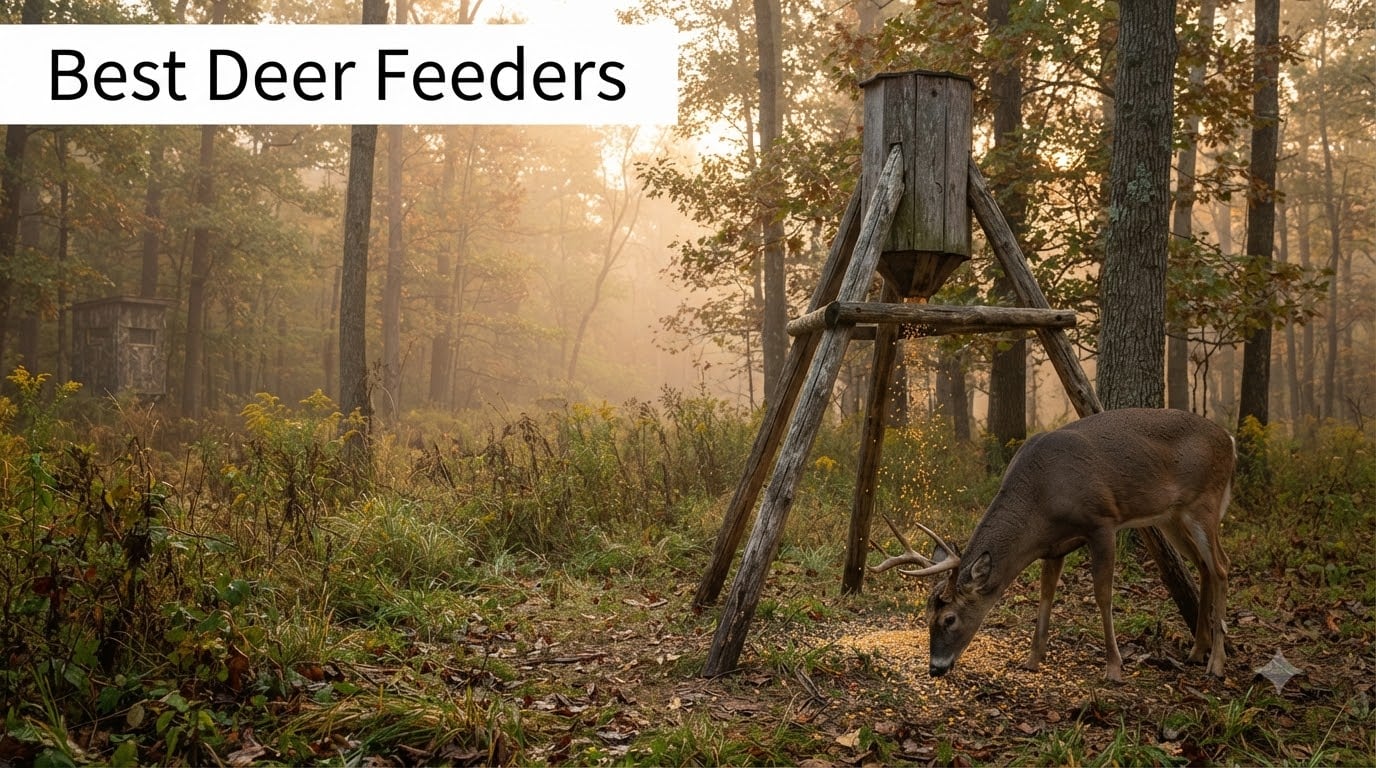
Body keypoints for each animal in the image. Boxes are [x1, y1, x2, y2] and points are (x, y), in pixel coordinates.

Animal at [870, 408, 1233, 682]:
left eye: (949, 619)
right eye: (926, 616)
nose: (935, 668)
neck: (1041, 498)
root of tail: (1228, 440)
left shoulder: (1102, 522)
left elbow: (1102, 595)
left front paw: (1114, 668)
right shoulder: (1053, 545)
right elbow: (1046, 594)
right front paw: (1032, 659)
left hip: (1206, 501)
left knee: (1221, 566)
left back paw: (1216, 663)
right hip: (1172, 516)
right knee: (1204, 567)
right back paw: (1197, 651)